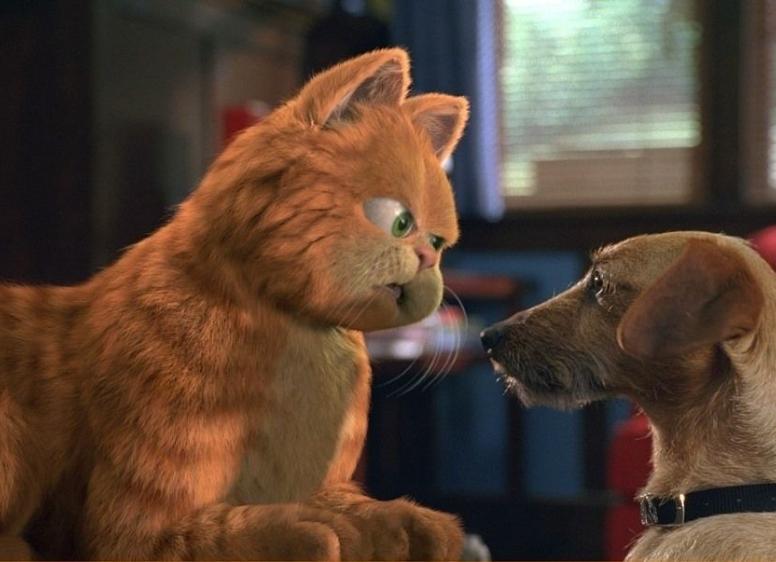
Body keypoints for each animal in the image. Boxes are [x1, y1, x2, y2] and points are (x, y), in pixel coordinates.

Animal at [0, 48, 469, 560]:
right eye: (400, 222)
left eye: (438, 242)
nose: (428, 258)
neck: (296, 337)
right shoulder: (130, 532)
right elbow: (251, 529)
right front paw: (323, 529)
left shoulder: (329, 482)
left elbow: (364, 507)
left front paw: (410, 525)